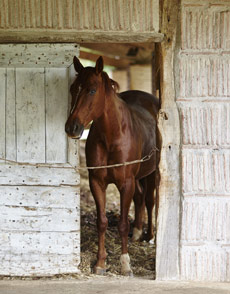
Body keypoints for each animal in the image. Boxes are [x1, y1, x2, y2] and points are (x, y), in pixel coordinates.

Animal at [65, 56, 160, 276]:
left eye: (92, 90)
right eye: (73, 89)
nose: (72, 127)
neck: (111, 136)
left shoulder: (125, 183)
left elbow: (123, 224)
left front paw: (125, 264)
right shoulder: (97, 182)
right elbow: (102, 222)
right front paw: (100, 263)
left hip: (152, 173)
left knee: (150, 200)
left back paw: (149, 236)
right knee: (140, 197)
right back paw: (137, 232)